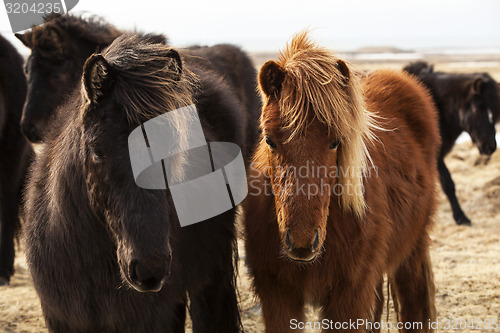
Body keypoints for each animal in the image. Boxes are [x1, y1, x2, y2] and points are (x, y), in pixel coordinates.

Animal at [244, 31, 440, 332]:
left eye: (335, 142)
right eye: (269, 140)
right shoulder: (277, 295)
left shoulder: (349, 295)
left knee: (414, 305)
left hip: (412, 251)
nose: (302, 242)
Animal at [404, 61, 498, 224]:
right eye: (477, 108)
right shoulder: (436, 156)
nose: (490, 147)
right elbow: (448, 184)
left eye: (493, 111)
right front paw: (461, 217)